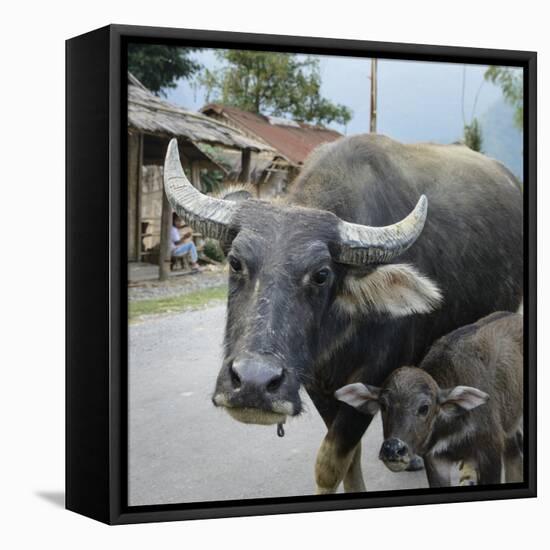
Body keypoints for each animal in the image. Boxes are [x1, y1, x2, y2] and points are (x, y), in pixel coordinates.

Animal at [336, 312, 528, 490]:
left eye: (424, 407)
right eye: (383, 405)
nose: (393, 449)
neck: (452, 426)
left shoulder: (490, 451)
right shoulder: (435, 459)